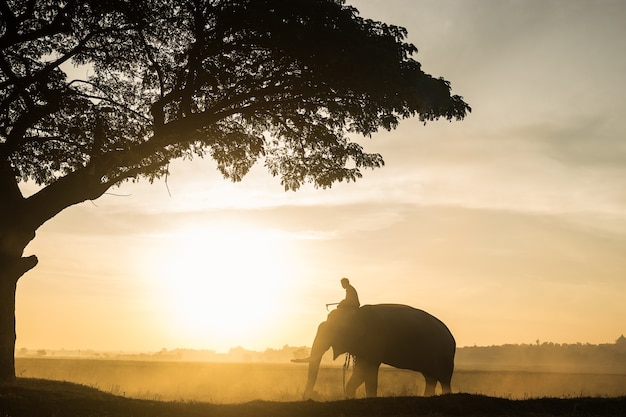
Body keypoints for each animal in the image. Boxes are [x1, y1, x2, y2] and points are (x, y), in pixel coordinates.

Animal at [290, 304, 456, 398]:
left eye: (331, 332)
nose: (307, 398)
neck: (354, 315)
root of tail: (452, 337)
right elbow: (362, 370)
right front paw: (350, 396)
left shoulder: (374, 340)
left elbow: (366, 369)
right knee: (430, 377)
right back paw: (427, 396)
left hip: (444, 354)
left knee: (444, 378)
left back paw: (446, 394)